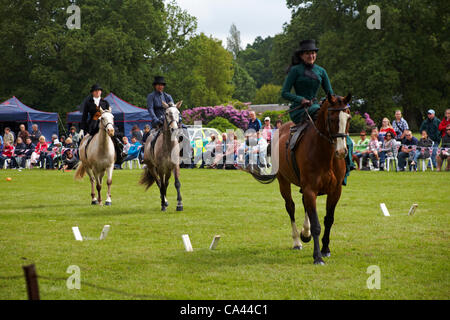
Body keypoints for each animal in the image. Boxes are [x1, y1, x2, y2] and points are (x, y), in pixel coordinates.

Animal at [250, 92, 352, 264]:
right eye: (332, 119)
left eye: (348, 118)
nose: (341, 151)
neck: (325, 154)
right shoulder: (310, 189)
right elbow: (316, 224)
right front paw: (317, 257)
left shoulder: (335, 191)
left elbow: (328, 219)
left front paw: (325, 249)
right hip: (283, 181)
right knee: (290, 207)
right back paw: (297, 240)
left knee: (304, 204)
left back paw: (305, 233)